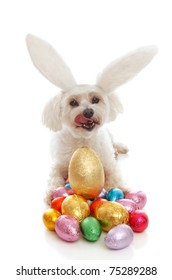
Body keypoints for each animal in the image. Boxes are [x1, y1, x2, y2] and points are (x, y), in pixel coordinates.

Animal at [25, 34, 157, 203]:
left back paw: (119, 148)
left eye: (95, 99)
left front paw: (121, 188)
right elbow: (54, 177)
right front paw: (53, 191)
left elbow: (115, 174)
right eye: (73, 103)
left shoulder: (108, 163)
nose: (88, 112)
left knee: (114, 142)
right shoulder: (58, 164)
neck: (84, 141)